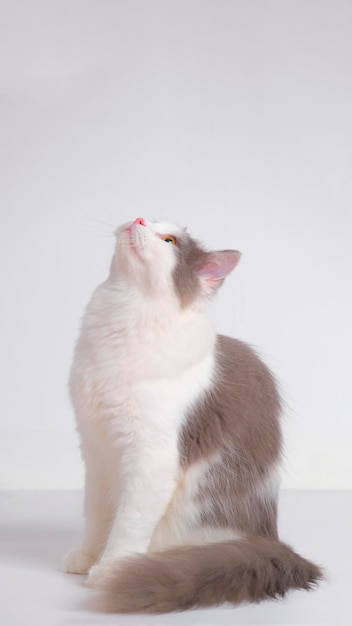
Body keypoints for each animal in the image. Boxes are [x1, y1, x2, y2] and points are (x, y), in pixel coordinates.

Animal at [64, 214, 324, 608]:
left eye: (169, 241)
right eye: (148, 218)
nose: (138, 219)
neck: (123, 317)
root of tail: (270, 539)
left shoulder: (151, 459)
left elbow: (127, 524)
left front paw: (110, 569)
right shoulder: (96, 451)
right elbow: (96, 515)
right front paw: (87, 557)